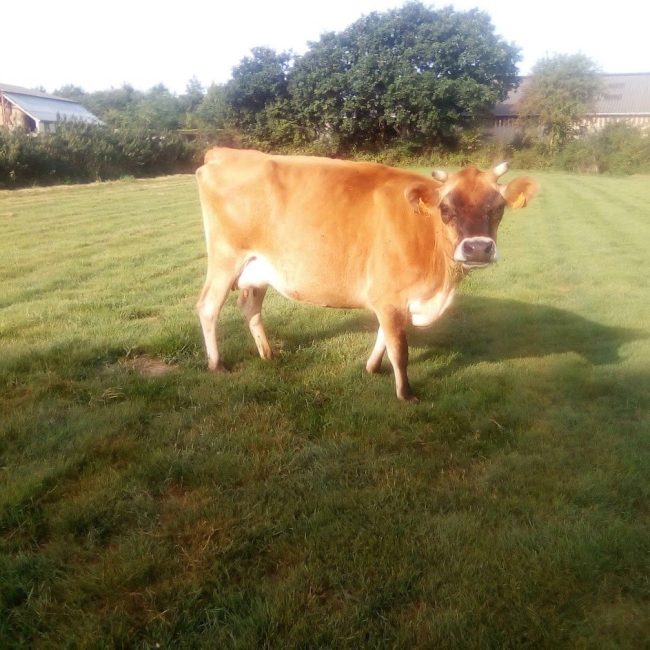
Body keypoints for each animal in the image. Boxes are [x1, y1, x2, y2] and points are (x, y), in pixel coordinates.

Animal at [195, 148, 538, 400]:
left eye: (498, 207)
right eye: (446, 208)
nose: (478, 248)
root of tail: (223, 153)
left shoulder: (392, 297)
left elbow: (384, 336)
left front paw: (373, 368)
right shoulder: (390, 295)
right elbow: (399, 348)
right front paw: (406, 393)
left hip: (258, 267)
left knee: (250, 307)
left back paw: (267, 354)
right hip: (225, 258)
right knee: (208, 307)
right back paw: (216, 364)